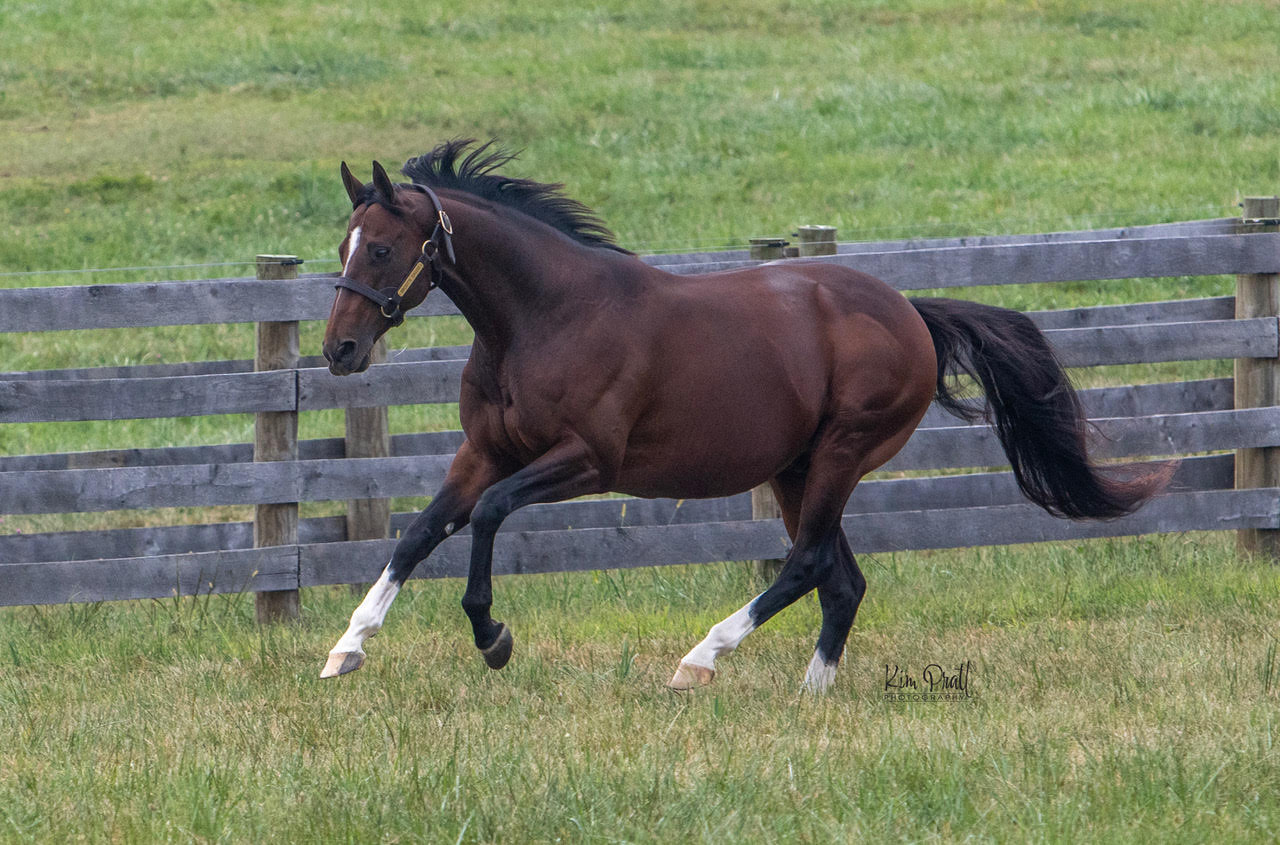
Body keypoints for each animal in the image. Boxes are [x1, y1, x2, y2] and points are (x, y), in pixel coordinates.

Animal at [320, 140, 1172, 691]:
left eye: (384, 250)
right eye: (342, 246)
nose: (340, 350)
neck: (544, 317)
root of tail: (910, 314)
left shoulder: (587, 460)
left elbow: (490, 514)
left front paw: (492, 637)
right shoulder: (485, 451)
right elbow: (420, 531)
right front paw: (346, 649)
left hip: (840, 454)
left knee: (807, 563)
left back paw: (699, 660)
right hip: (798, 467)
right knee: (841, 579)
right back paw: (810, 691)